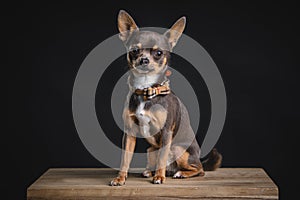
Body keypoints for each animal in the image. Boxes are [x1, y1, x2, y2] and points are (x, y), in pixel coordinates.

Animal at [109, 10, 221, 186]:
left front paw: (159, 178)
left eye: (159, 53)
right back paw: (151, 171)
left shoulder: (166, 132)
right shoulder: (129, 133)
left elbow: (162, 157)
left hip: (178, 149)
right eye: (134, 50)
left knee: (199, 170)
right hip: (150, 149)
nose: (144, 60)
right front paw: (120, 178)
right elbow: (125, 159)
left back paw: (179, 173)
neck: (146, 89)